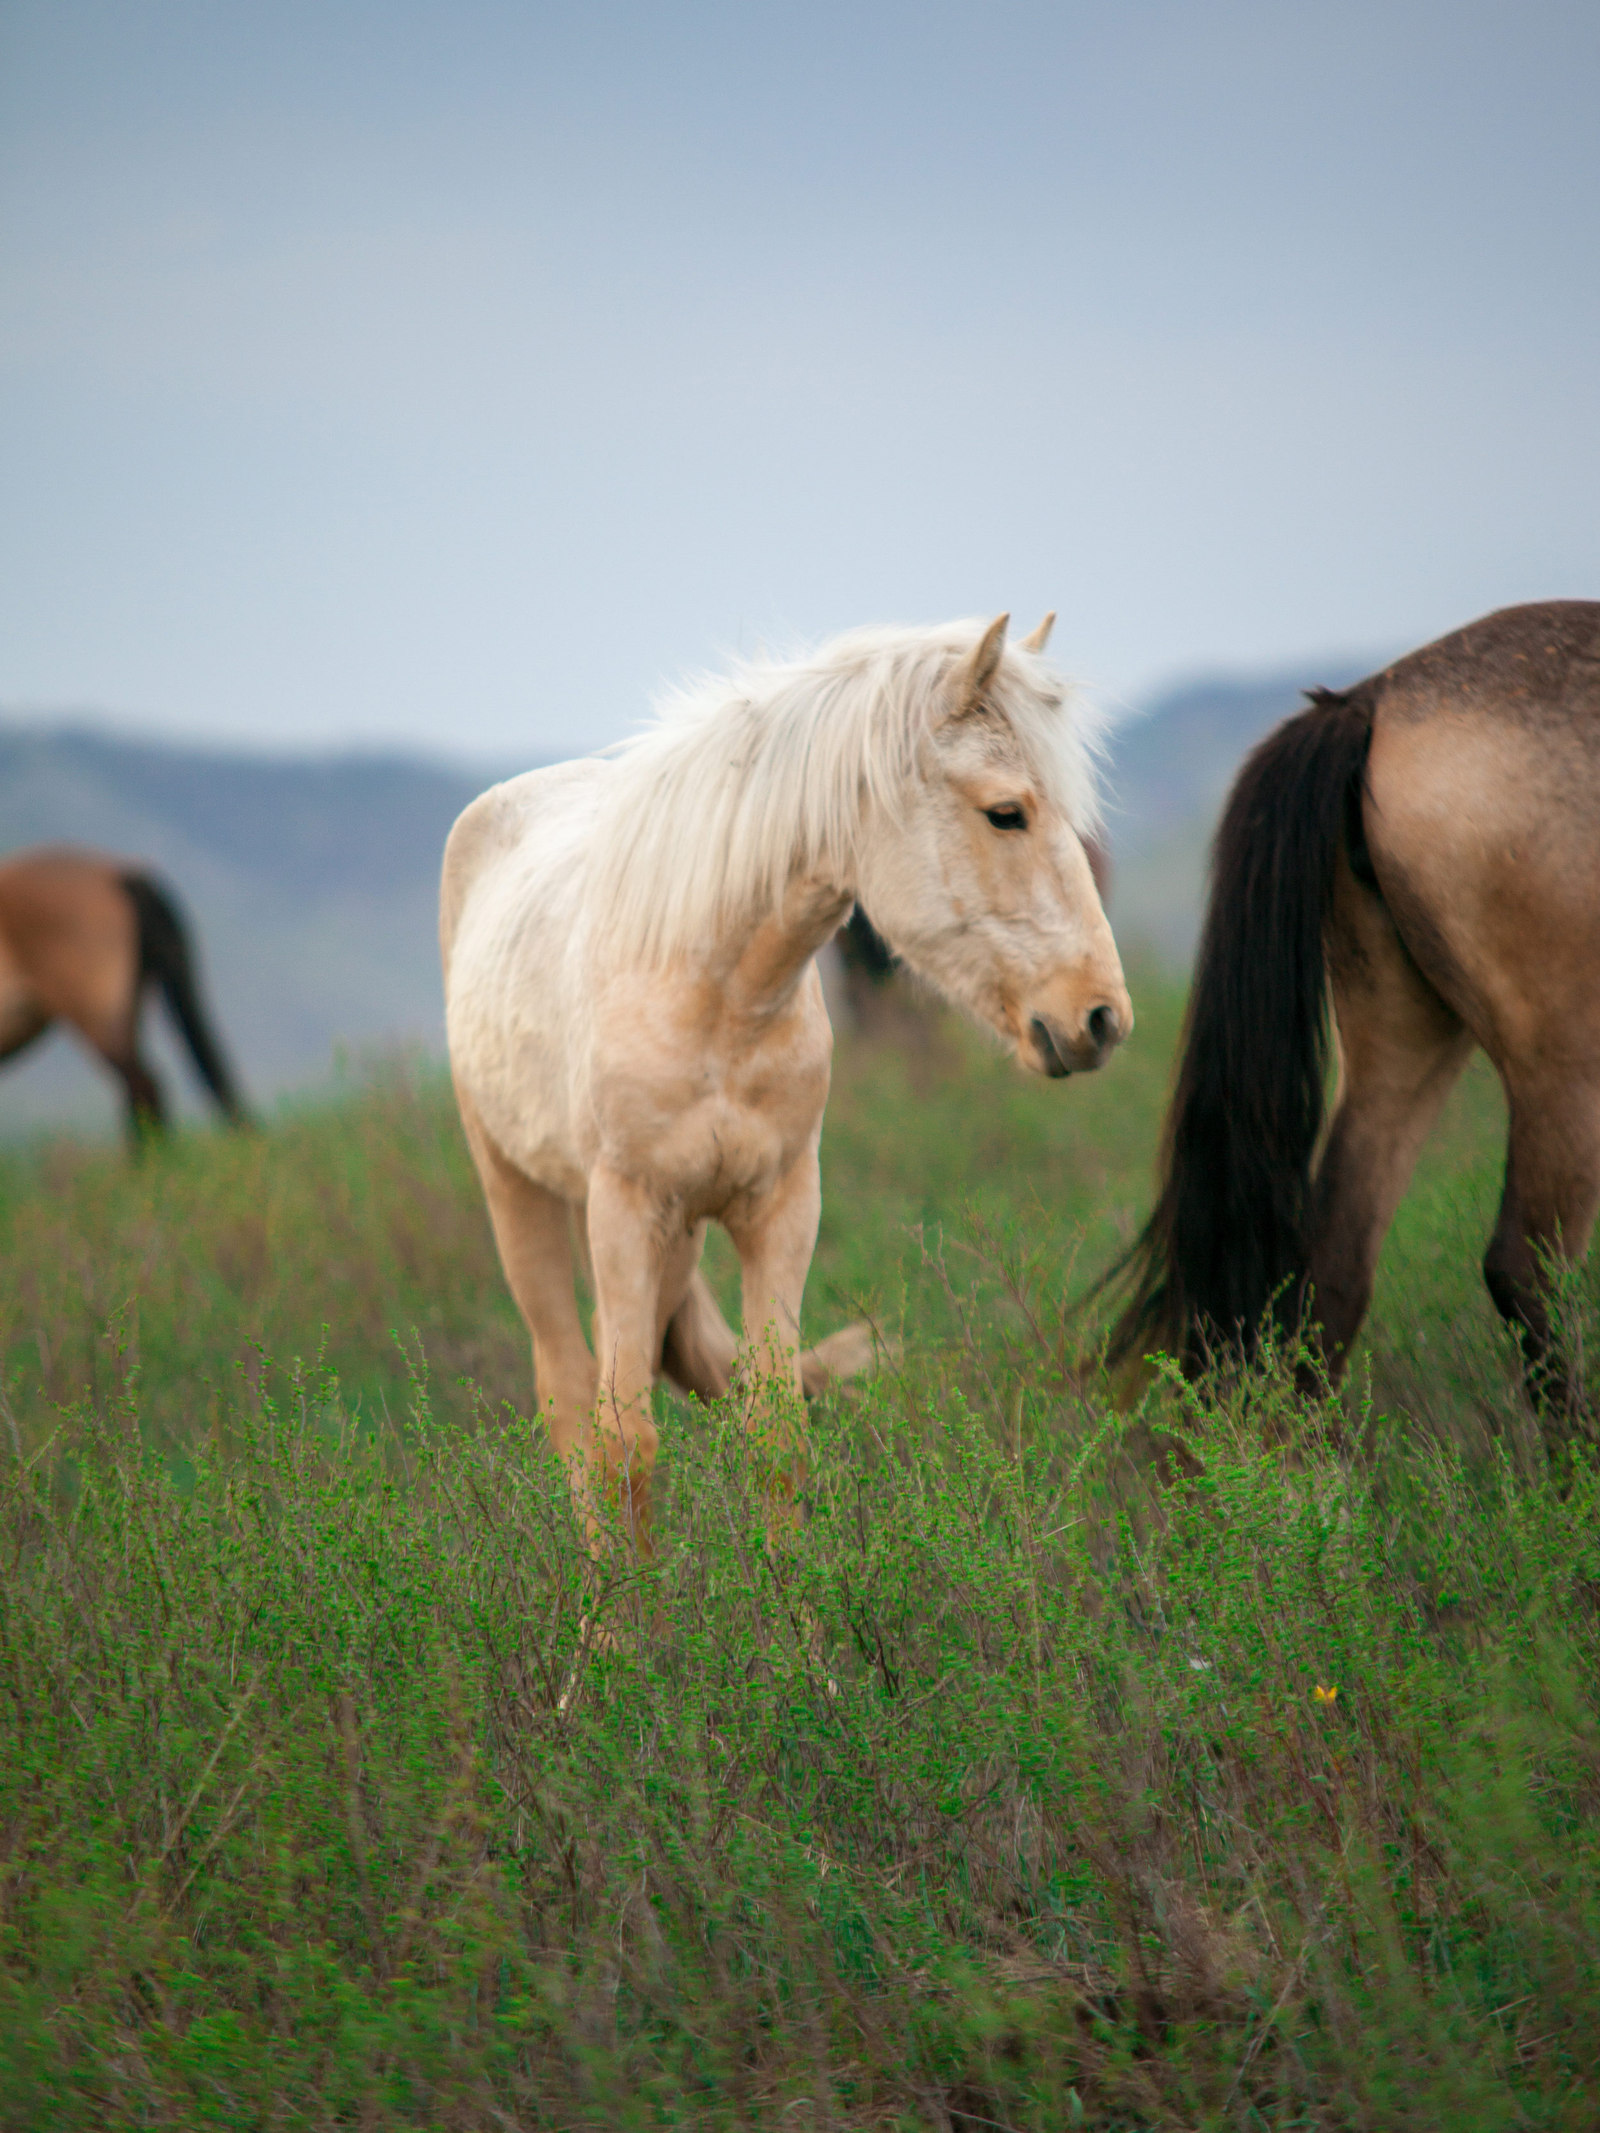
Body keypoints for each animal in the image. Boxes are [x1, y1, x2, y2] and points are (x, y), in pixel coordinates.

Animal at [445, 610, 1134, 1544]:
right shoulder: (622, 1211)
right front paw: (620, 1598)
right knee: (568, 1400)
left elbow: (772, 1432)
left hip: (677, 1234)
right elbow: (625, 1443)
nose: (1100, 1018)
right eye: (1006, 813)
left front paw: (791, 1591)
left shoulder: (780, 1206)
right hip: (518, 1193)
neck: (716, 996)